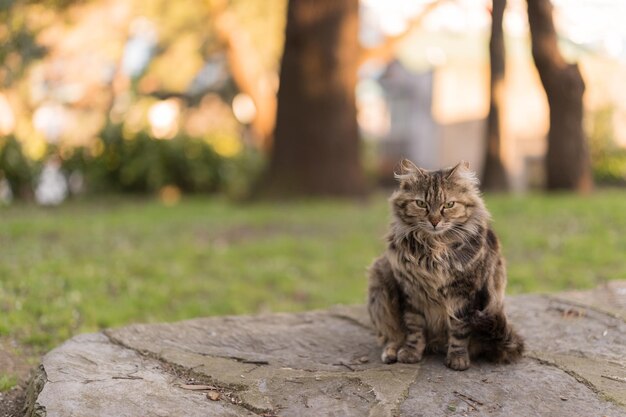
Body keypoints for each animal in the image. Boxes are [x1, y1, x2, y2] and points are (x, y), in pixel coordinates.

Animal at [366, 159, 520, 370]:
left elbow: (459, 331)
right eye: (421, 204)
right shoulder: (410, 292)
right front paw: (411, 353)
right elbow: (414, 328)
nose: (434, 221)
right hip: (380, 280)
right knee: (393, 335)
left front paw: (458, 358)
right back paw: (391, 353)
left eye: (449, 205)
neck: (433, 250)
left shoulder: (464, 295)